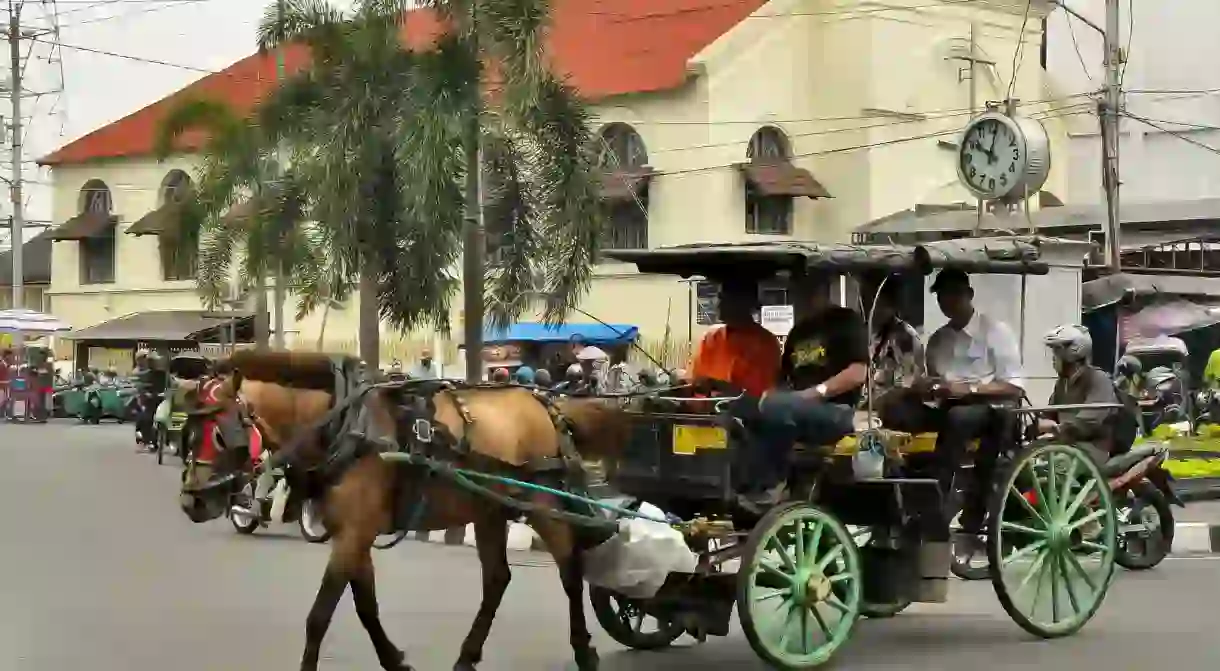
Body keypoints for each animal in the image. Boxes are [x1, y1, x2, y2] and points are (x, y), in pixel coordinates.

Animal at [178, 351, 629, 671]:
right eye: (189, 432)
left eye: (221, 436)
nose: (192, 501)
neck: (343, 426)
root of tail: (542, 402)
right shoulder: (352, 533)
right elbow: (366, 606)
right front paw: (394, 660)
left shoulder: (354, 533)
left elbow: (319, 615)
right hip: (489, 508)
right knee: (497, 579)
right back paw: (467, 657)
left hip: (541, 501)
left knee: (570, 570)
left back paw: (583, 651)